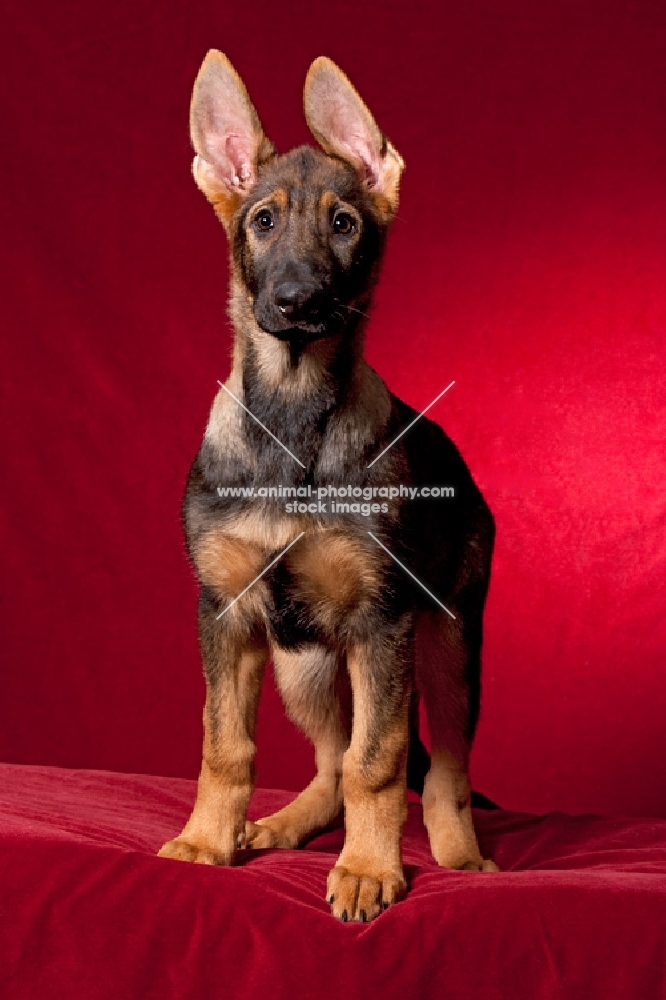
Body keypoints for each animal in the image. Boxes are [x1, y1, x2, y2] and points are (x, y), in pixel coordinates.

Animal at [158, 50, 496, 916]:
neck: (292, 416)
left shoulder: (383, 623)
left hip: (446, 644)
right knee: (326, 761)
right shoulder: (228, 613)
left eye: (344, 225)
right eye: (262, 222)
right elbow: (226, 746)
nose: (296, 301)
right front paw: (205, 842)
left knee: (442, 767)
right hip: (302, 663)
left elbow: (376, 762)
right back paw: (284, 824)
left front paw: (371, 869)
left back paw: (461, 856)